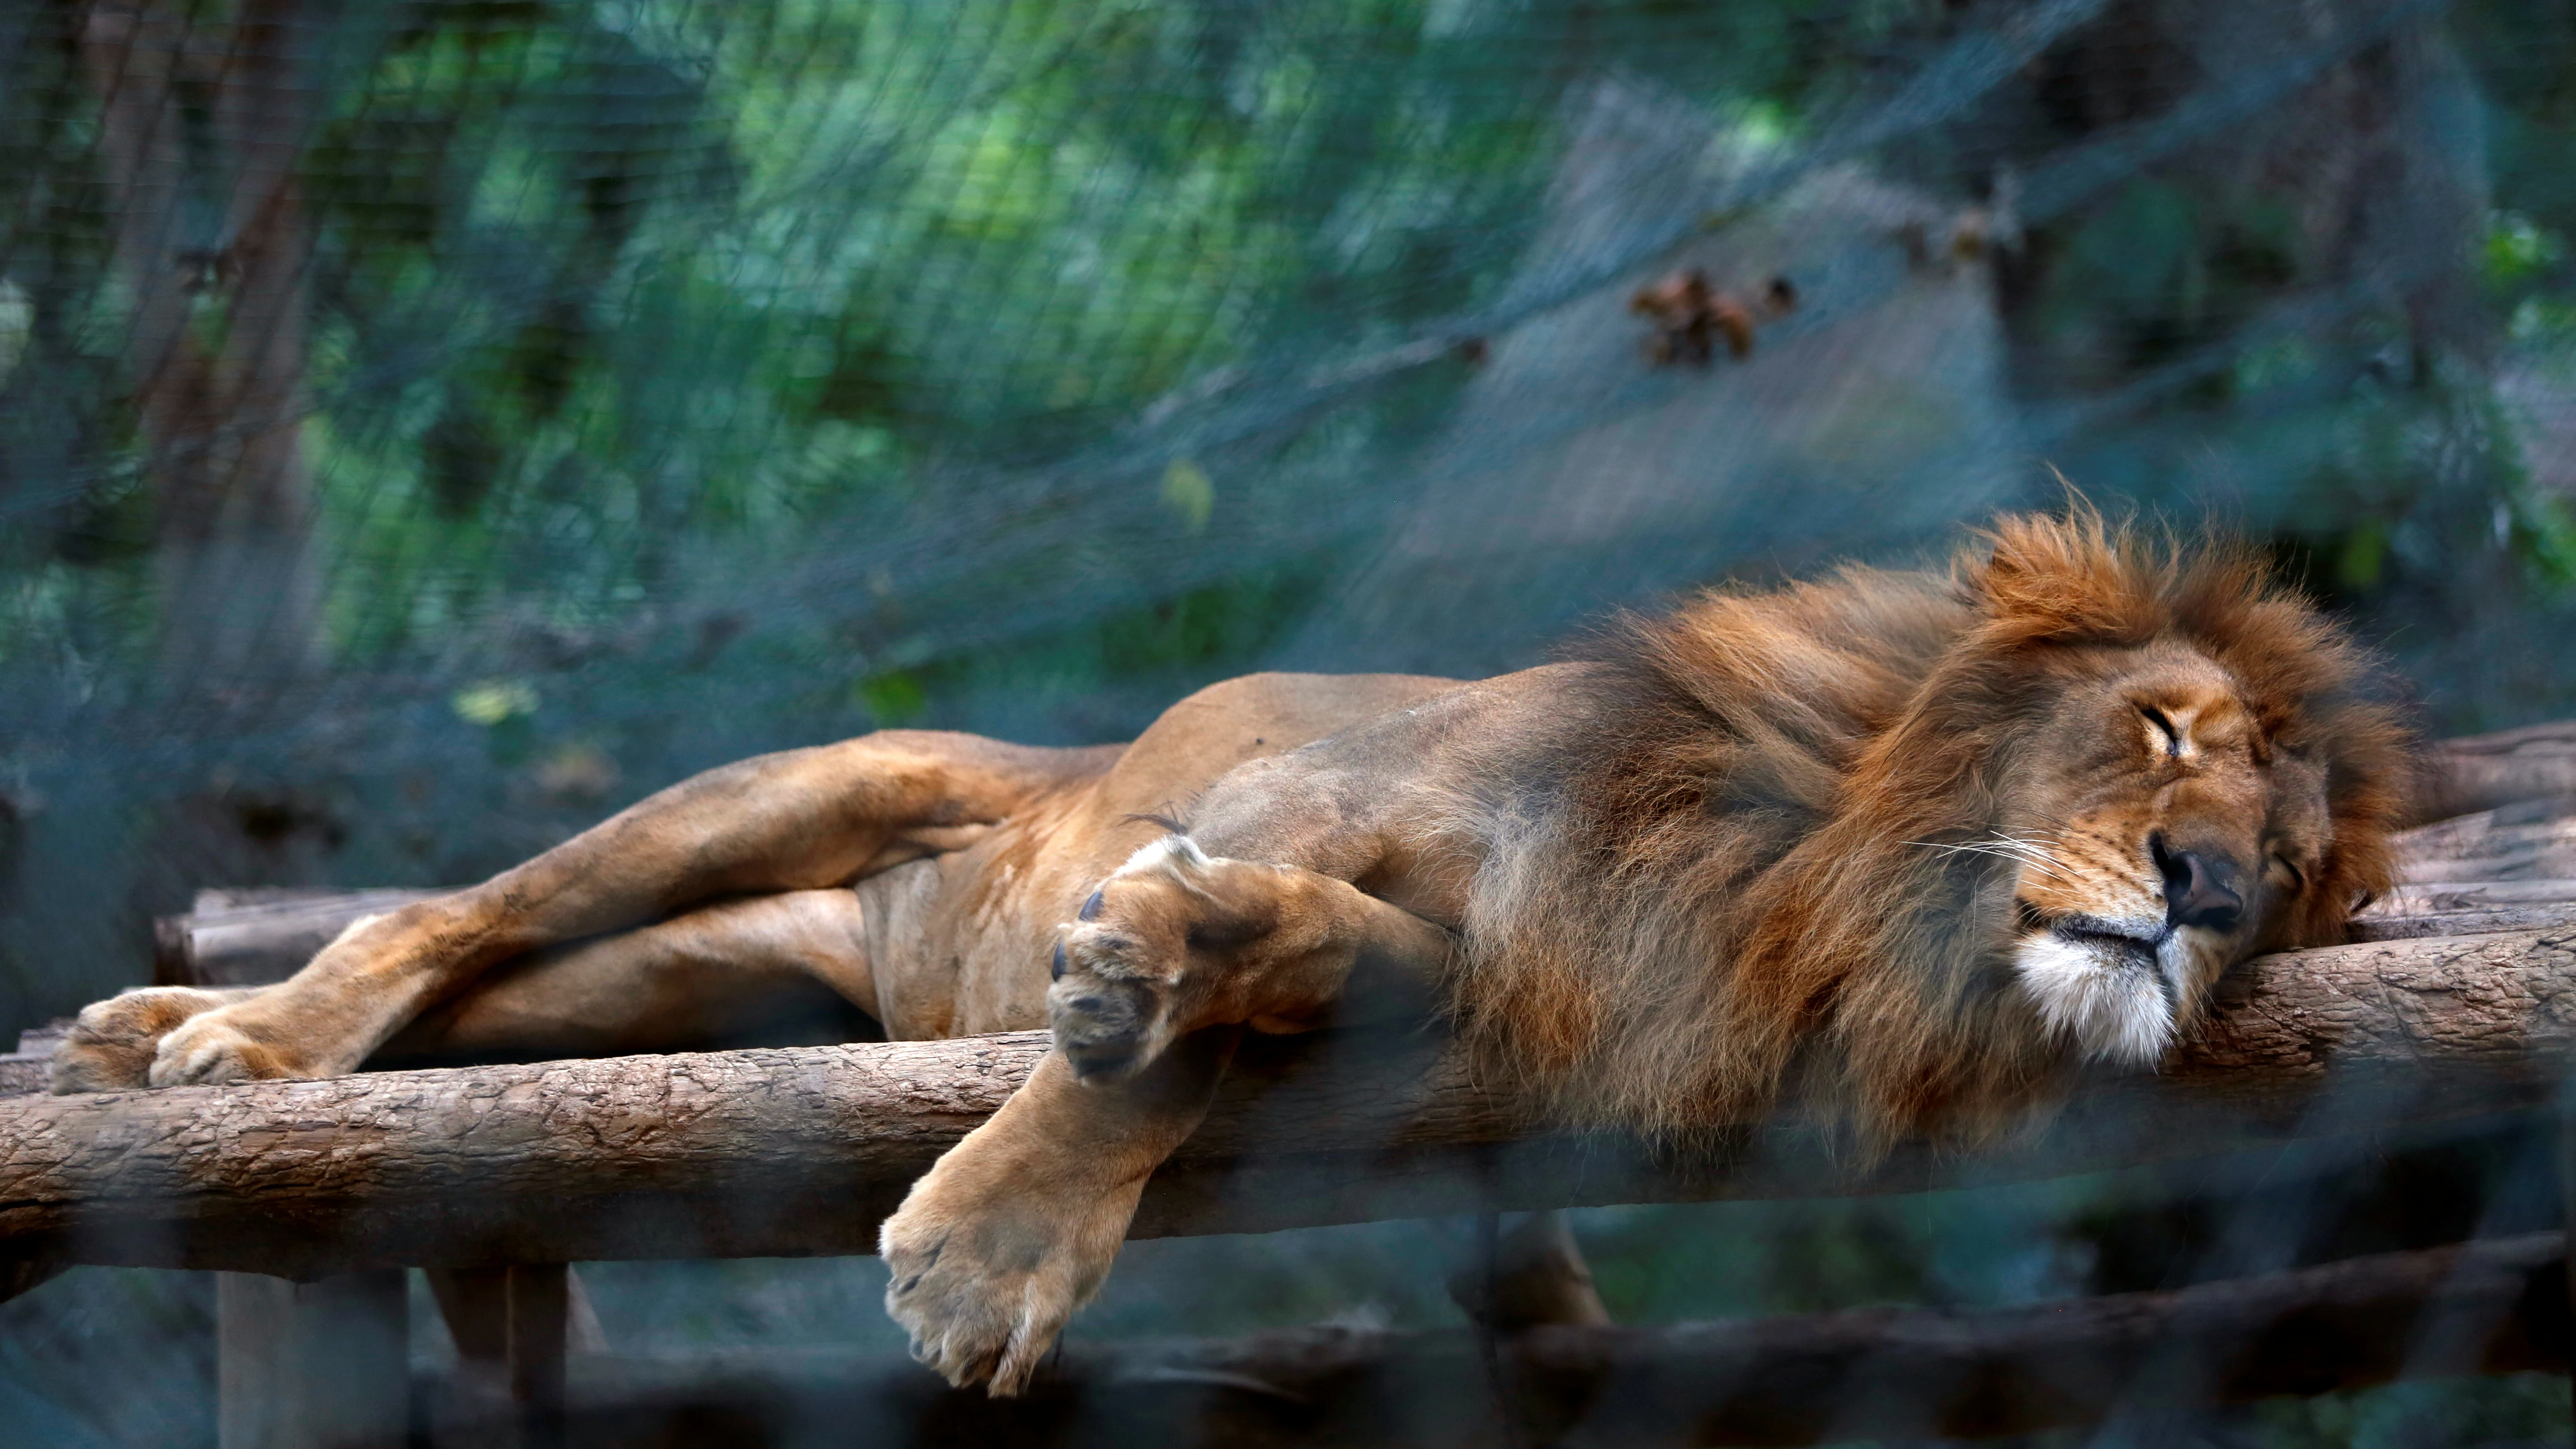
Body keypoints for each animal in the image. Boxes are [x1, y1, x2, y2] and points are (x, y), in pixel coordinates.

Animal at [45, 508, 2411, 1392]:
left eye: (2295, 868)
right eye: (2163, 734)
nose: (2204, 894)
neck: (1814, 877)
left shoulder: (1484, 975)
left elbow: (1274, 991)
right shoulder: (1317, 792)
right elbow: (1165, 1038)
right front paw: (999, 1231)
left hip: (699, 980)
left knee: (493, 1012)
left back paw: (186, 1044)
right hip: (790, 792)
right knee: (442, 915)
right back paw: (226, 1042)